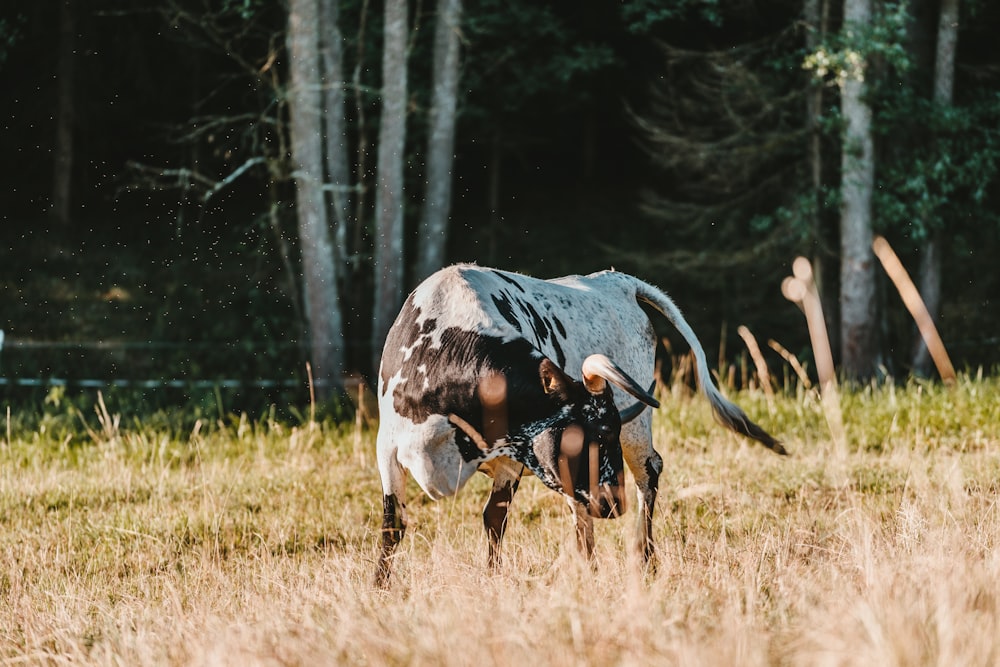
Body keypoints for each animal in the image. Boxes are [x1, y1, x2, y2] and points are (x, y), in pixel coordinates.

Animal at [374, 264, 780, 588]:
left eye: (607, 433)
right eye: (582, 436)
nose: (613, 502)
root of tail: (617, 280)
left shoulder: (514, 456)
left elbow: (495, 518)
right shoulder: (388, 450)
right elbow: (394, 526)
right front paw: (379, 588)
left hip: (637, 431)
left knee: (647, 475)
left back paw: (644, 561)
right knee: (582, 511)